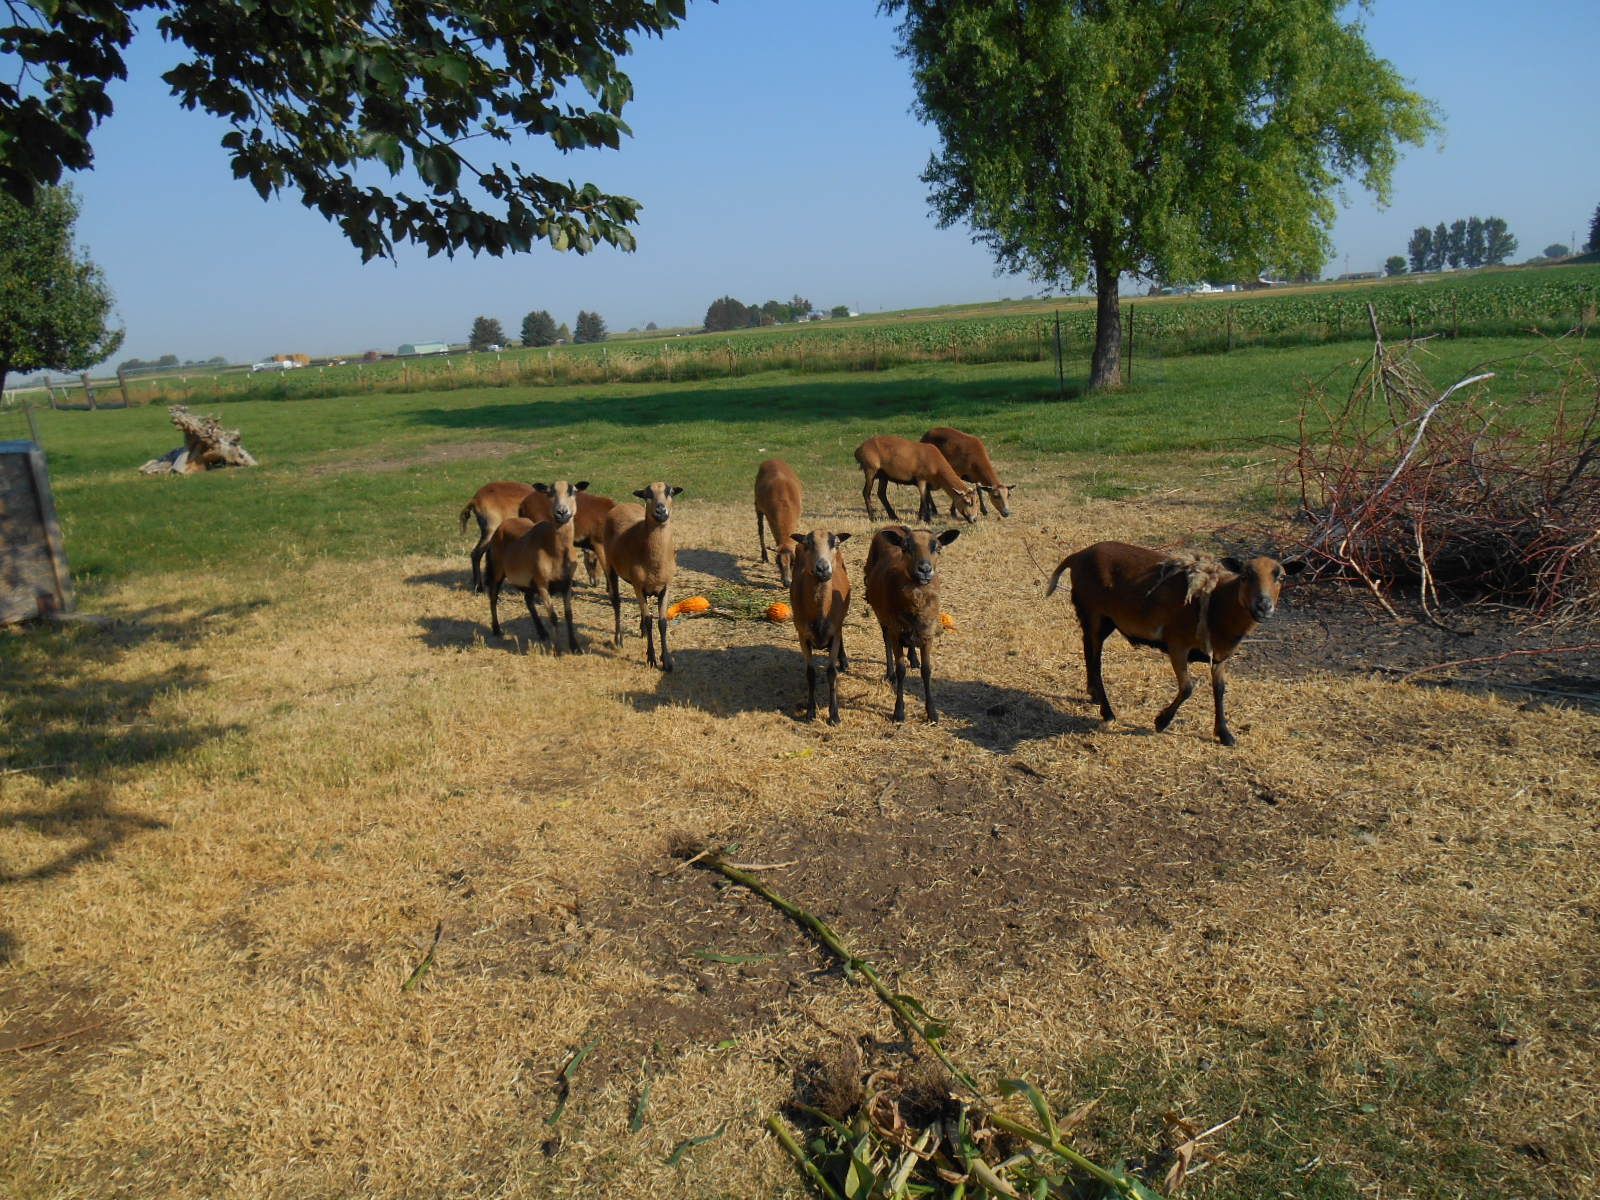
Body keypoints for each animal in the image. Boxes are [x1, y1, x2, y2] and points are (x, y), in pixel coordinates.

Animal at [483, 481, 588, 653]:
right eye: (549, 493)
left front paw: (575, 647)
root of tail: (505, 522)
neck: (555, 552)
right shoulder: (542, 584)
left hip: (527, 581)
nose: (561, 512)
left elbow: (569, 614)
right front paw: (557, 650)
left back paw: (542, 632)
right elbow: (553, 616)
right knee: (493, 596)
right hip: (498, 568)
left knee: (527, 600)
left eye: (572, 491)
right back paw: (497, 629)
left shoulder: (566, 583)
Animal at [602, 482, 683, 671]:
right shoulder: (638, 586)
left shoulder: (666, 586)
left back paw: (643, 633)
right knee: (616, 602)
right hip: (609, 565)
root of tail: (622, 505)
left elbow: (661, 622)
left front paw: (667, 660)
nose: (661, 511)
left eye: (670, 492)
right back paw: (619, 639)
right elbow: (648, 619)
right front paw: (651, 658)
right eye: (647, 495)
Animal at [788, 529, 852, 724]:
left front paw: (834, 716)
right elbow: (810, 674)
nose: (822, 569)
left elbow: (831, 673)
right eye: (807, 544)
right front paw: (810, 712)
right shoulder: (802, 635)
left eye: (835, 543)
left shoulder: (835, 633)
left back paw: (844, 661)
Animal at [864, 525, 961, 722]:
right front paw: (899, 712)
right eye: (905, 548)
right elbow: (901, 670)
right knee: (886, 640)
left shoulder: (927, 634)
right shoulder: (896, 630)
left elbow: (927, 670)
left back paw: (914, 659)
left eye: (937, 548)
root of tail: (891, 526)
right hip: (882, 615)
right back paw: (890, 673)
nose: (924, 569)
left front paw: (932, 713)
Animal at [1046, 541, 1302, 746]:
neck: (1217, 602)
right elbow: (1188, 687)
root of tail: (1078, 555)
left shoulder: (1219, 655)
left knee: (1088, 650)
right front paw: (1161, 721)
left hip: (1103, 620)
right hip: (1093, 612)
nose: (1264, 606)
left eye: (1281, 577)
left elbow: (1219, 690)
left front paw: (1225, 735)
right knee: (1096, 661)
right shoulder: (1177, 644)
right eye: (1245, 576)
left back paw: (1094, 695)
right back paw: (1107, 713)